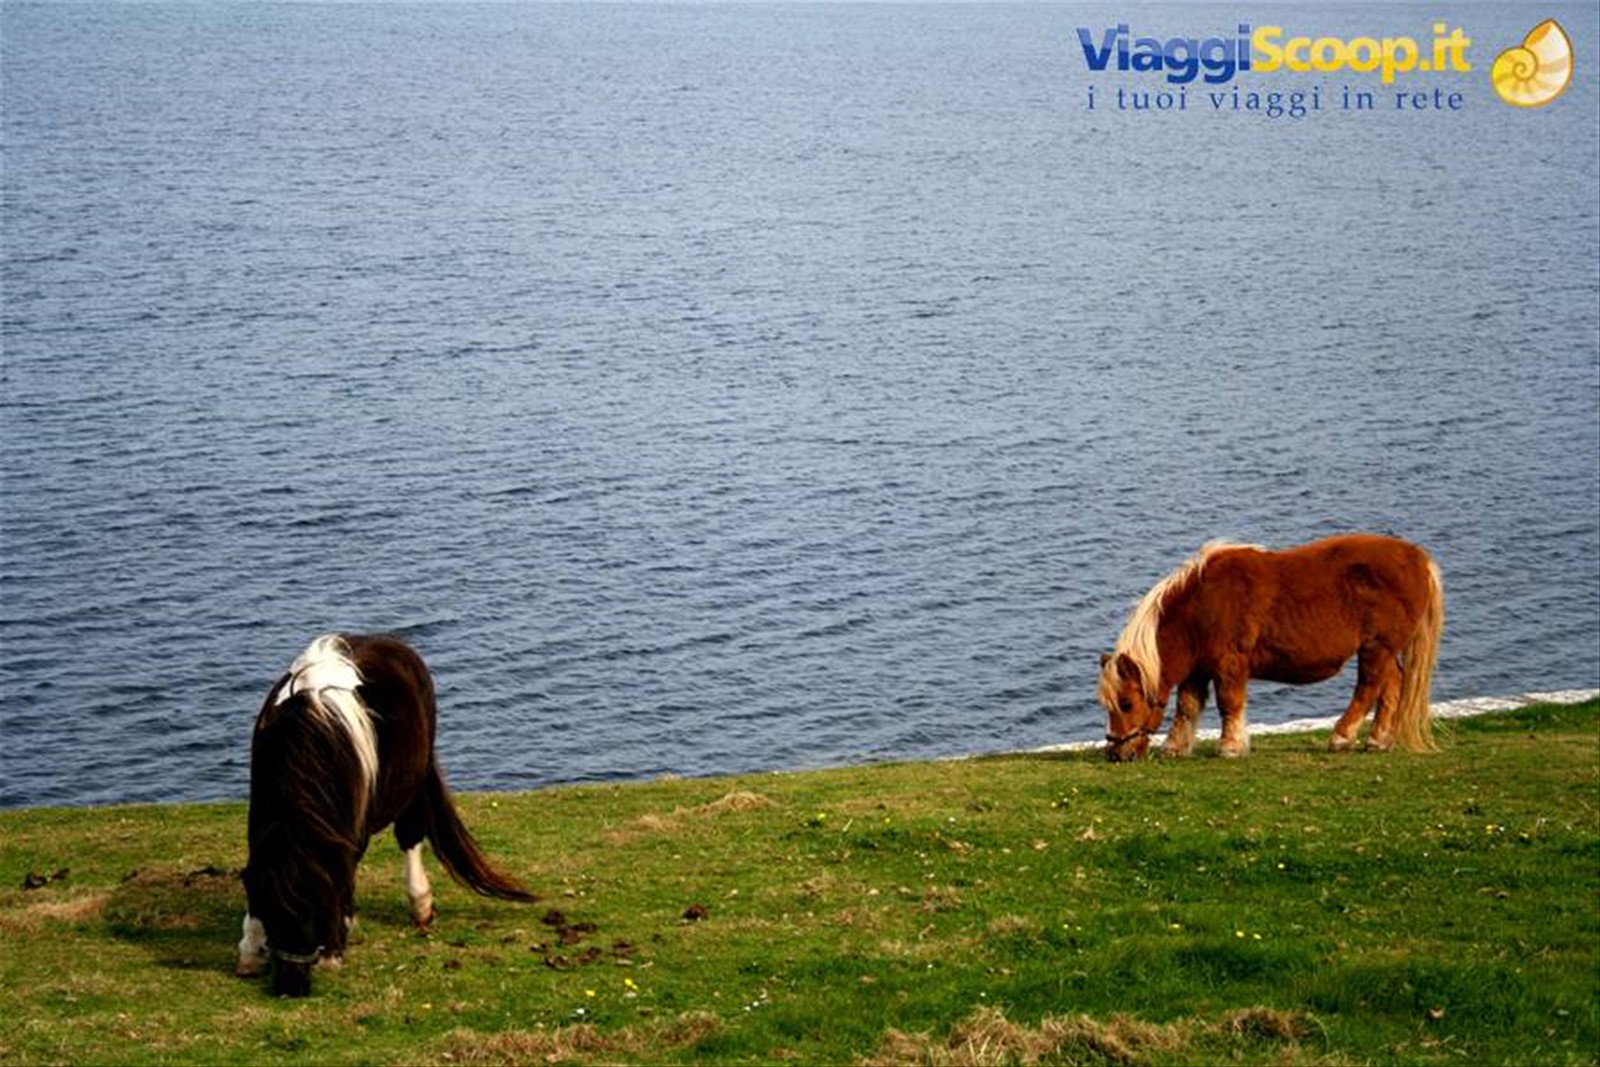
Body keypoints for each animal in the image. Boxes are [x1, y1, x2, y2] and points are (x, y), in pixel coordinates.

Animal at [236, 633, 535, 996]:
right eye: (275, 915)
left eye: (315, 914)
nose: (291, 987)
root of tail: (389, 641)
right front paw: (250, 952)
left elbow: (344, 873)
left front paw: (334, 950)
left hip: (414, 779)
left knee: (410, 835)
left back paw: (421, 907)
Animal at [1096, 534, 1444, 762]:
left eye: (1126, 703)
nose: (1116, 753)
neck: (1202, 604)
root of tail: (1419, 558)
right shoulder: (1198, 670)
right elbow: (1187, 707)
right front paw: (1176, 747)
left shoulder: (1229, 665)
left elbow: (1229, 704)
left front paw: (1231, 747)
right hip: (1384, 650)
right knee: (1391, 687)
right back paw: (1378, 741)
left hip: (1376, 648)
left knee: (1368, 688)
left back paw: (1341, 737)